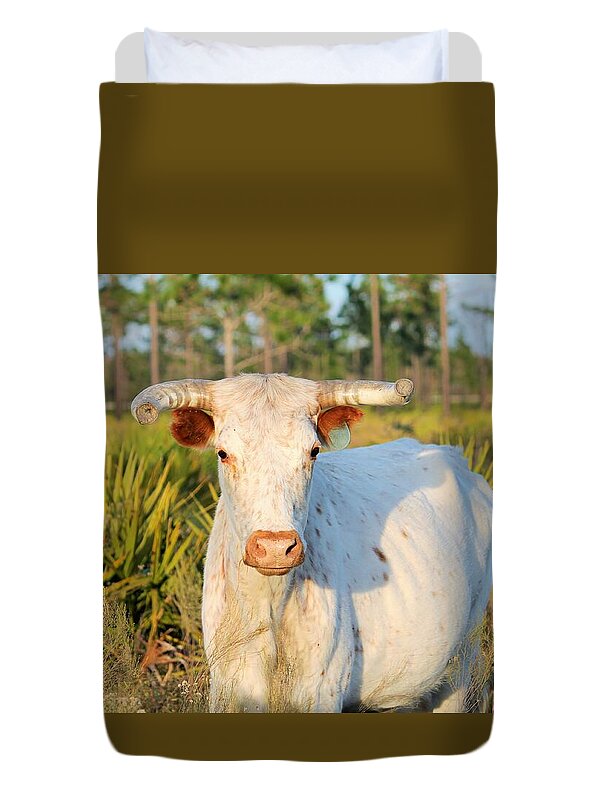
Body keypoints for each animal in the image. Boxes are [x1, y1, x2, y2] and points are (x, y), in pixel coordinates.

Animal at [131, 373, 492, 713]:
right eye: (223, 453)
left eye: (314, 451)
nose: (275, 548)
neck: (270, 609)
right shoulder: (228, 690)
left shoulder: (320, 694)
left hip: (462, 664)